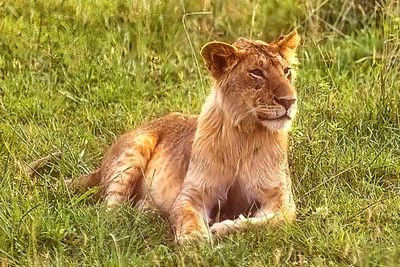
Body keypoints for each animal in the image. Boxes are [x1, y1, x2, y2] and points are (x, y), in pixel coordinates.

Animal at [69, 30, 300, 244]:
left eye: (286, 71)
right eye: (256, 73)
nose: (290, 101)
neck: (245, 135)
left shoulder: (282, 198)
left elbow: (274, 221)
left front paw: (221, 227)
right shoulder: (192, 193)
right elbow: (188, 217)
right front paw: (195, 241)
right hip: (135, 148)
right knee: (109, 210)